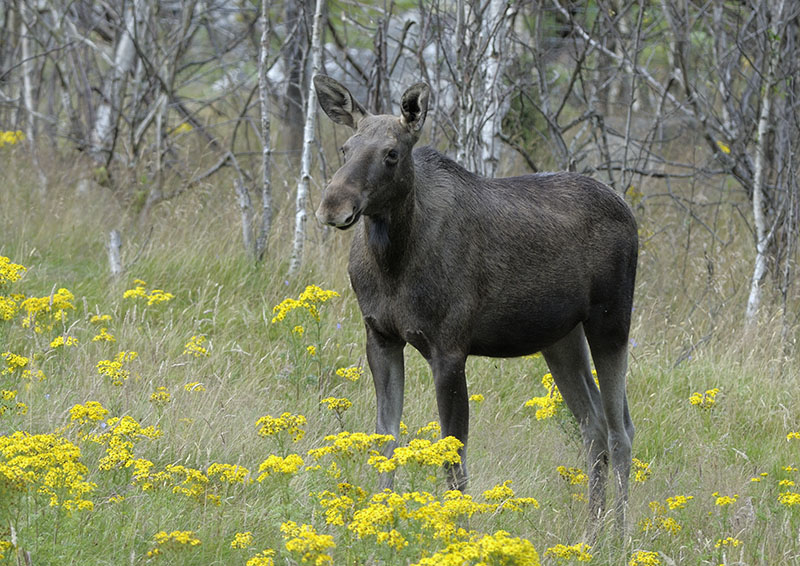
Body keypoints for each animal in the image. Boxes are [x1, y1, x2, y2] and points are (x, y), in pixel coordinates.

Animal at [313, 74, 638, 529]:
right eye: (346, 148)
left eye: (392, 154)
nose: (333, 206)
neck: (393, 261)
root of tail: (627, 208)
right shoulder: (380, 337)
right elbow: (386, 439)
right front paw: (379, 516)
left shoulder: (449, 348)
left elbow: (454, 456)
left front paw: (458, 529)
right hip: (561, 336)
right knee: (592, 425)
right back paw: (590, 530)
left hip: (611, 320)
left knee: (619, 428)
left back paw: (618, 533)